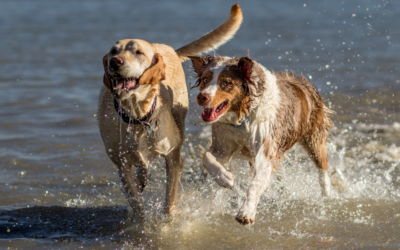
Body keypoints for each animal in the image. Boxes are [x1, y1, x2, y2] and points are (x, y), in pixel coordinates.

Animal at [99, 4, 244, 223]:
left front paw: (167, 222)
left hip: (179, 124)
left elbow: (169, 198)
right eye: (113, 51)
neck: (138, 117)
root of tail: (169, 50)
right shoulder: (121, 165)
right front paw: (142, 222)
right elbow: (135, 200)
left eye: (138, 52)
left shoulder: (171, 156)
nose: (114, 61)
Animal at [189, 55, 332, 226]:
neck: (242, 119)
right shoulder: (224, 146)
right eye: (205, 80)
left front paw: (246, 212)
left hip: (314, 137)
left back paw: (327, 196)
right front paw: (226, 179)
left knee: (322, 168)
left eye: (226, 83)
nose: (202, 96)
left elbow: (255, 184)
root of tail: (302, 81)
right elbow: (207, 158)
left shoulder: (265, 151)